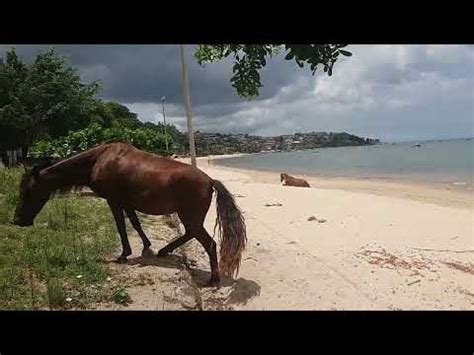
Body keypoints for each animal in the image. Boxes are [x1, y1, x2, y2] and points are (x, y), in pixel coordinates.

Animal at [12, 142, 246, 286]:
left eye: (26, 191)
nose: (17, 220)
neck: (98, 160)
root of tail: (209, 180)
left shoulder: (114, 201)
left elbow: (121, 226)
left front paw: (124, 254)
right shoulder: (127, 202)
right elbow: (135, 223)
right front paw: (146, 247)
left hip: (190, 217)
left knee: (209, 243)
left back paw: (213, 279)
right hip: (189, 218)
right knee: (190, 235)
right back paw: (164, 250)